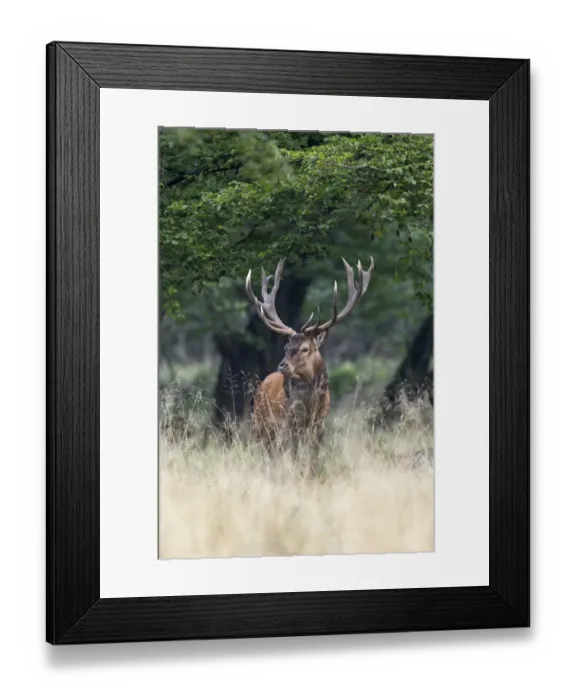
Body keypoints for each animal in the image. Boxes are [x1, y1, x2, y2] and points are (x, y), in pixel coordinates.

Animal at [245, 256, 374, 469]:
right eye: (286, 347)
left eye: (305, 348)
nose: (282, 365)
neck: (310, 407)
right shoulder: (290, 424)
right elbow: (295, 457)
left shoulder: (320, 424)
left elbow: (314, 459)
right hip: (260, 424)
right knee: (265, 454)